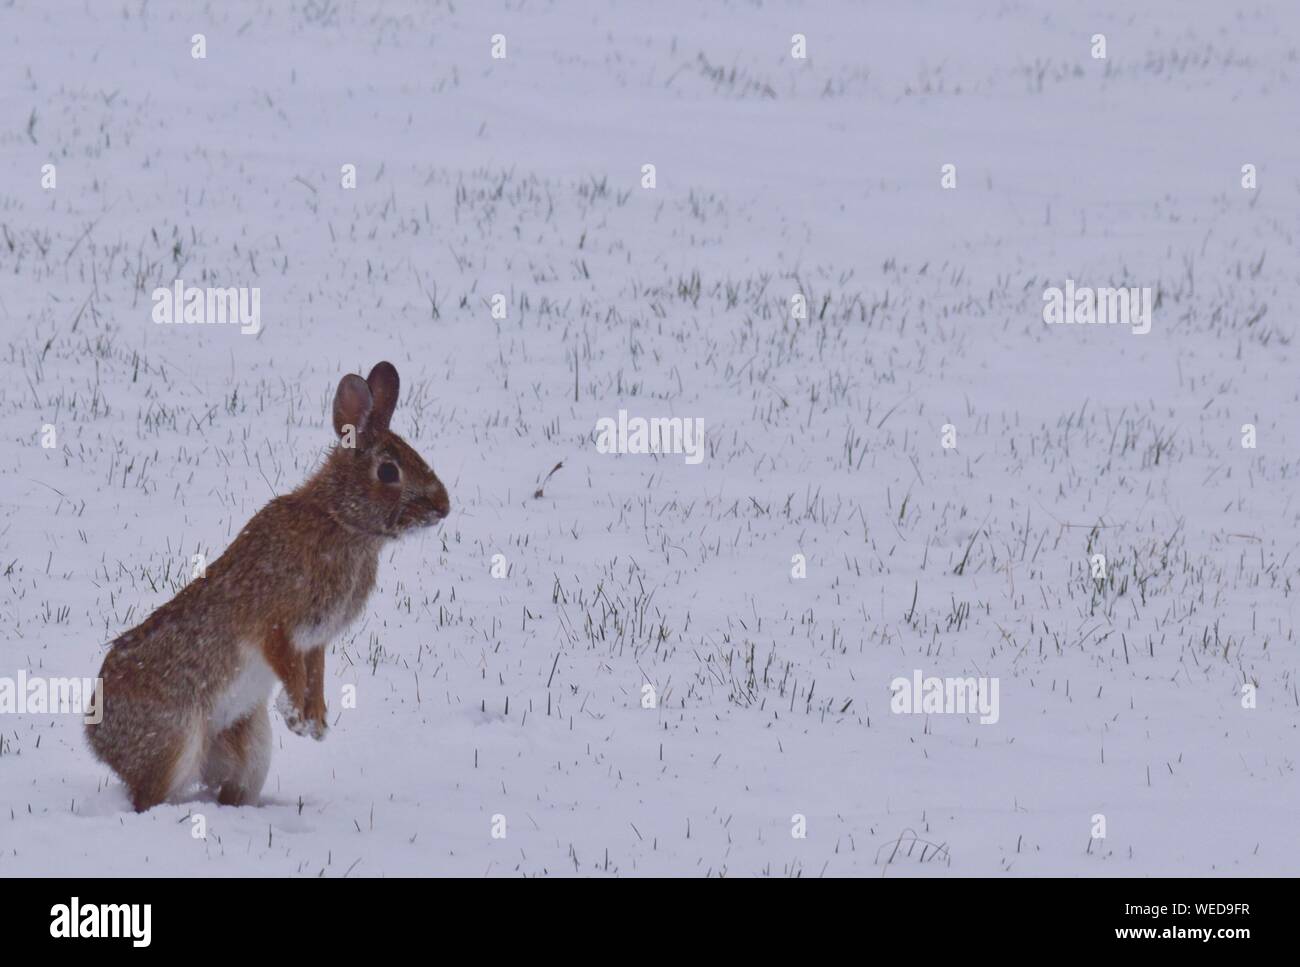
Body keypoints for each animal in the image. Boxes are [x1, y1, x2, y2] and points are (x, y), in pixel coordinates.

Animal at [85, 361, 450, 811]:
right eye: (388, 471)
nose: (443, 507)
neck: (339, 519)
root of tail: (96, 738)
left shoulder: (316, 639)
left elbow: (315, 674)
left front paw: (317, 721)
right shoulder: (275, 624)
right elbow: (289, 667)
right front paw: (297, 717)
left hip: (251, 747)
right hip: (176, 741)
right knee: (151, 796)